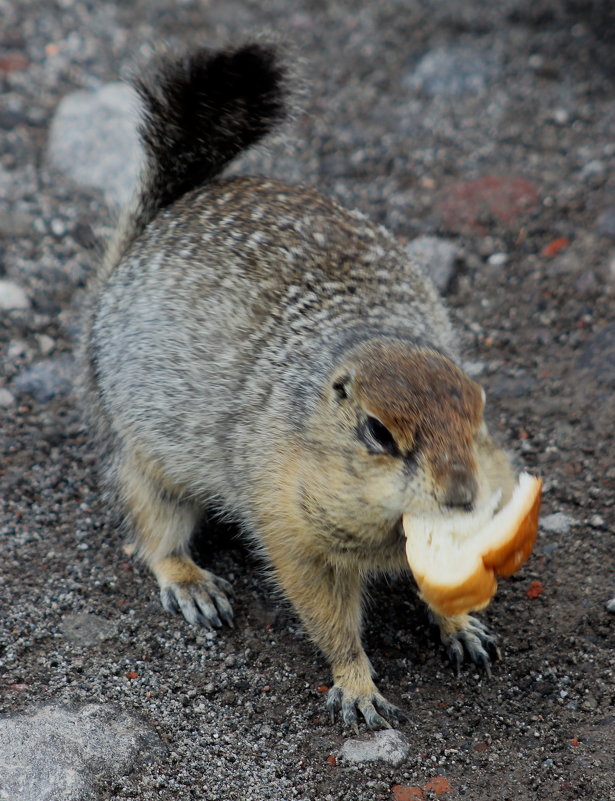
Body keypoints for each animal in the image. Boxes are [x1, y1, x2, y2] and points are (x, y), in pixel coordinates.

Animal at [84, 45, 516, 732]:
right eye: (377, 432)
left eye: (480, 418)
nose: (462, 495)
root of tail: (142, 237)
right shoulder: (291, 528)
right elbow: (327, 616)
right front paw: (358, 687)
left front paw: (461, 625)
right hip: (144, 458)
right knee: (151, 528)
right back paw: (191, 583)